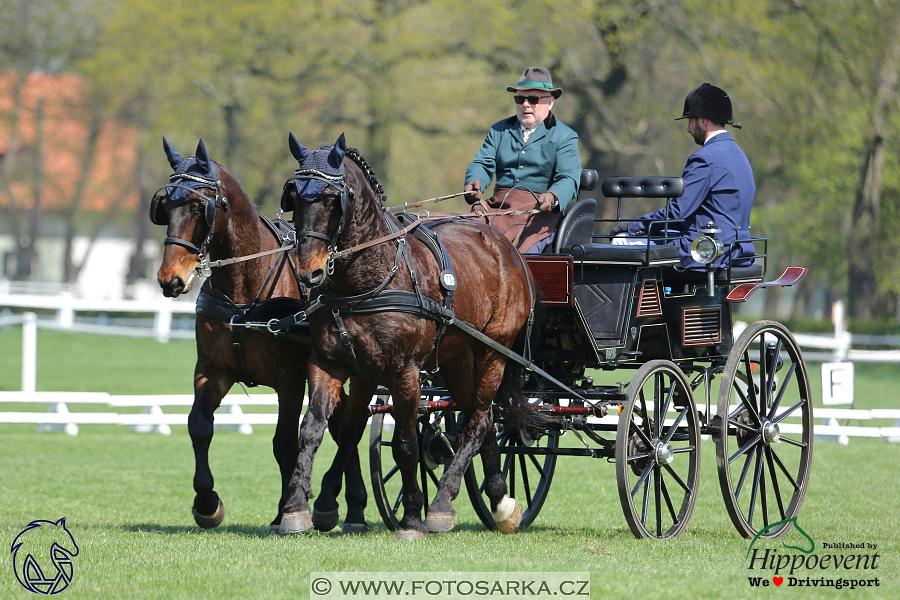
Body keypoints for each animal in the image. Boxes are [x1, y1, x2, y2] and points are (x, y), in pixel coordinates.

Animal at [153, 138, 368, 532]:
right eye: (165, 205)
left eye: (199, 206)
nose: (169, 278)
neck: (245, 291)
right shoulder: (212, 370)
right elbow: (199, 426)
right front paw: (207, 503)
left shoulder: (291, 378)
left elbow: (284, 443)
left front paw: (288, 511)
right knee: (342, 421)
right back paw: (353, 506)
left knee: (343, 423)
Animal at [278, 132, 544, 540]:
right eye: (294, 196)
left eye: (332, 198)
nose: (310, 272)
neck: (370, 276)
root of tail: (505, 246)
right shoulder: (332, 362)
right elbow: (317, 431)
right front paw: (301, 507)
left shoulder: (404, 371)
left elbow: (405, 445)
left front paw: (412, 517)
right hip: (456, 358)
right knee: (480, 419)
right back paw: (499, 501)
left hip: (494, 351)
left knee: (478, 421)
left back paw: (443, 503)